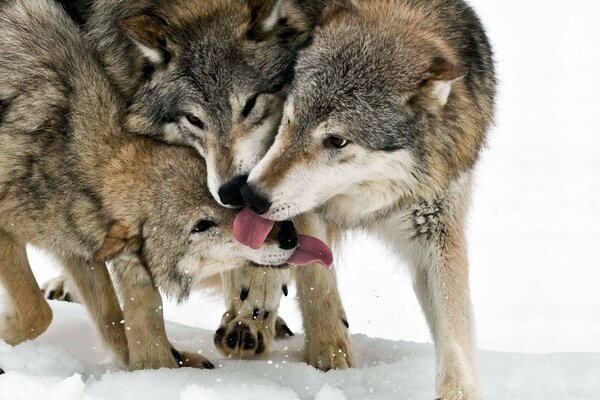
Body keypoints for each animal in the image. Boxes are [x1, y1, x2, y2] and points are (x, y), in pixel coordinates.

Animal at [0, 0, 302, 370]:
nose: (287, 235)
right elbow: (38, 312)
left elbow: (114, 321)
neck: (68, 151)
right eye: (201, 226)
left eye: (236, 205)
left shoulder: (79, 249)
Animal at [234, 0, 496, 396]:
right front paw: (329, 356)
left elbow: (455, 332)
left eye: (337, 141)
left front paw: (458, 393)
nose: (251, 195)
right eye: (290, 119)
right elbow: (317, 281)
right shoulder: (305, 209)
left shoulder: (437, 228)